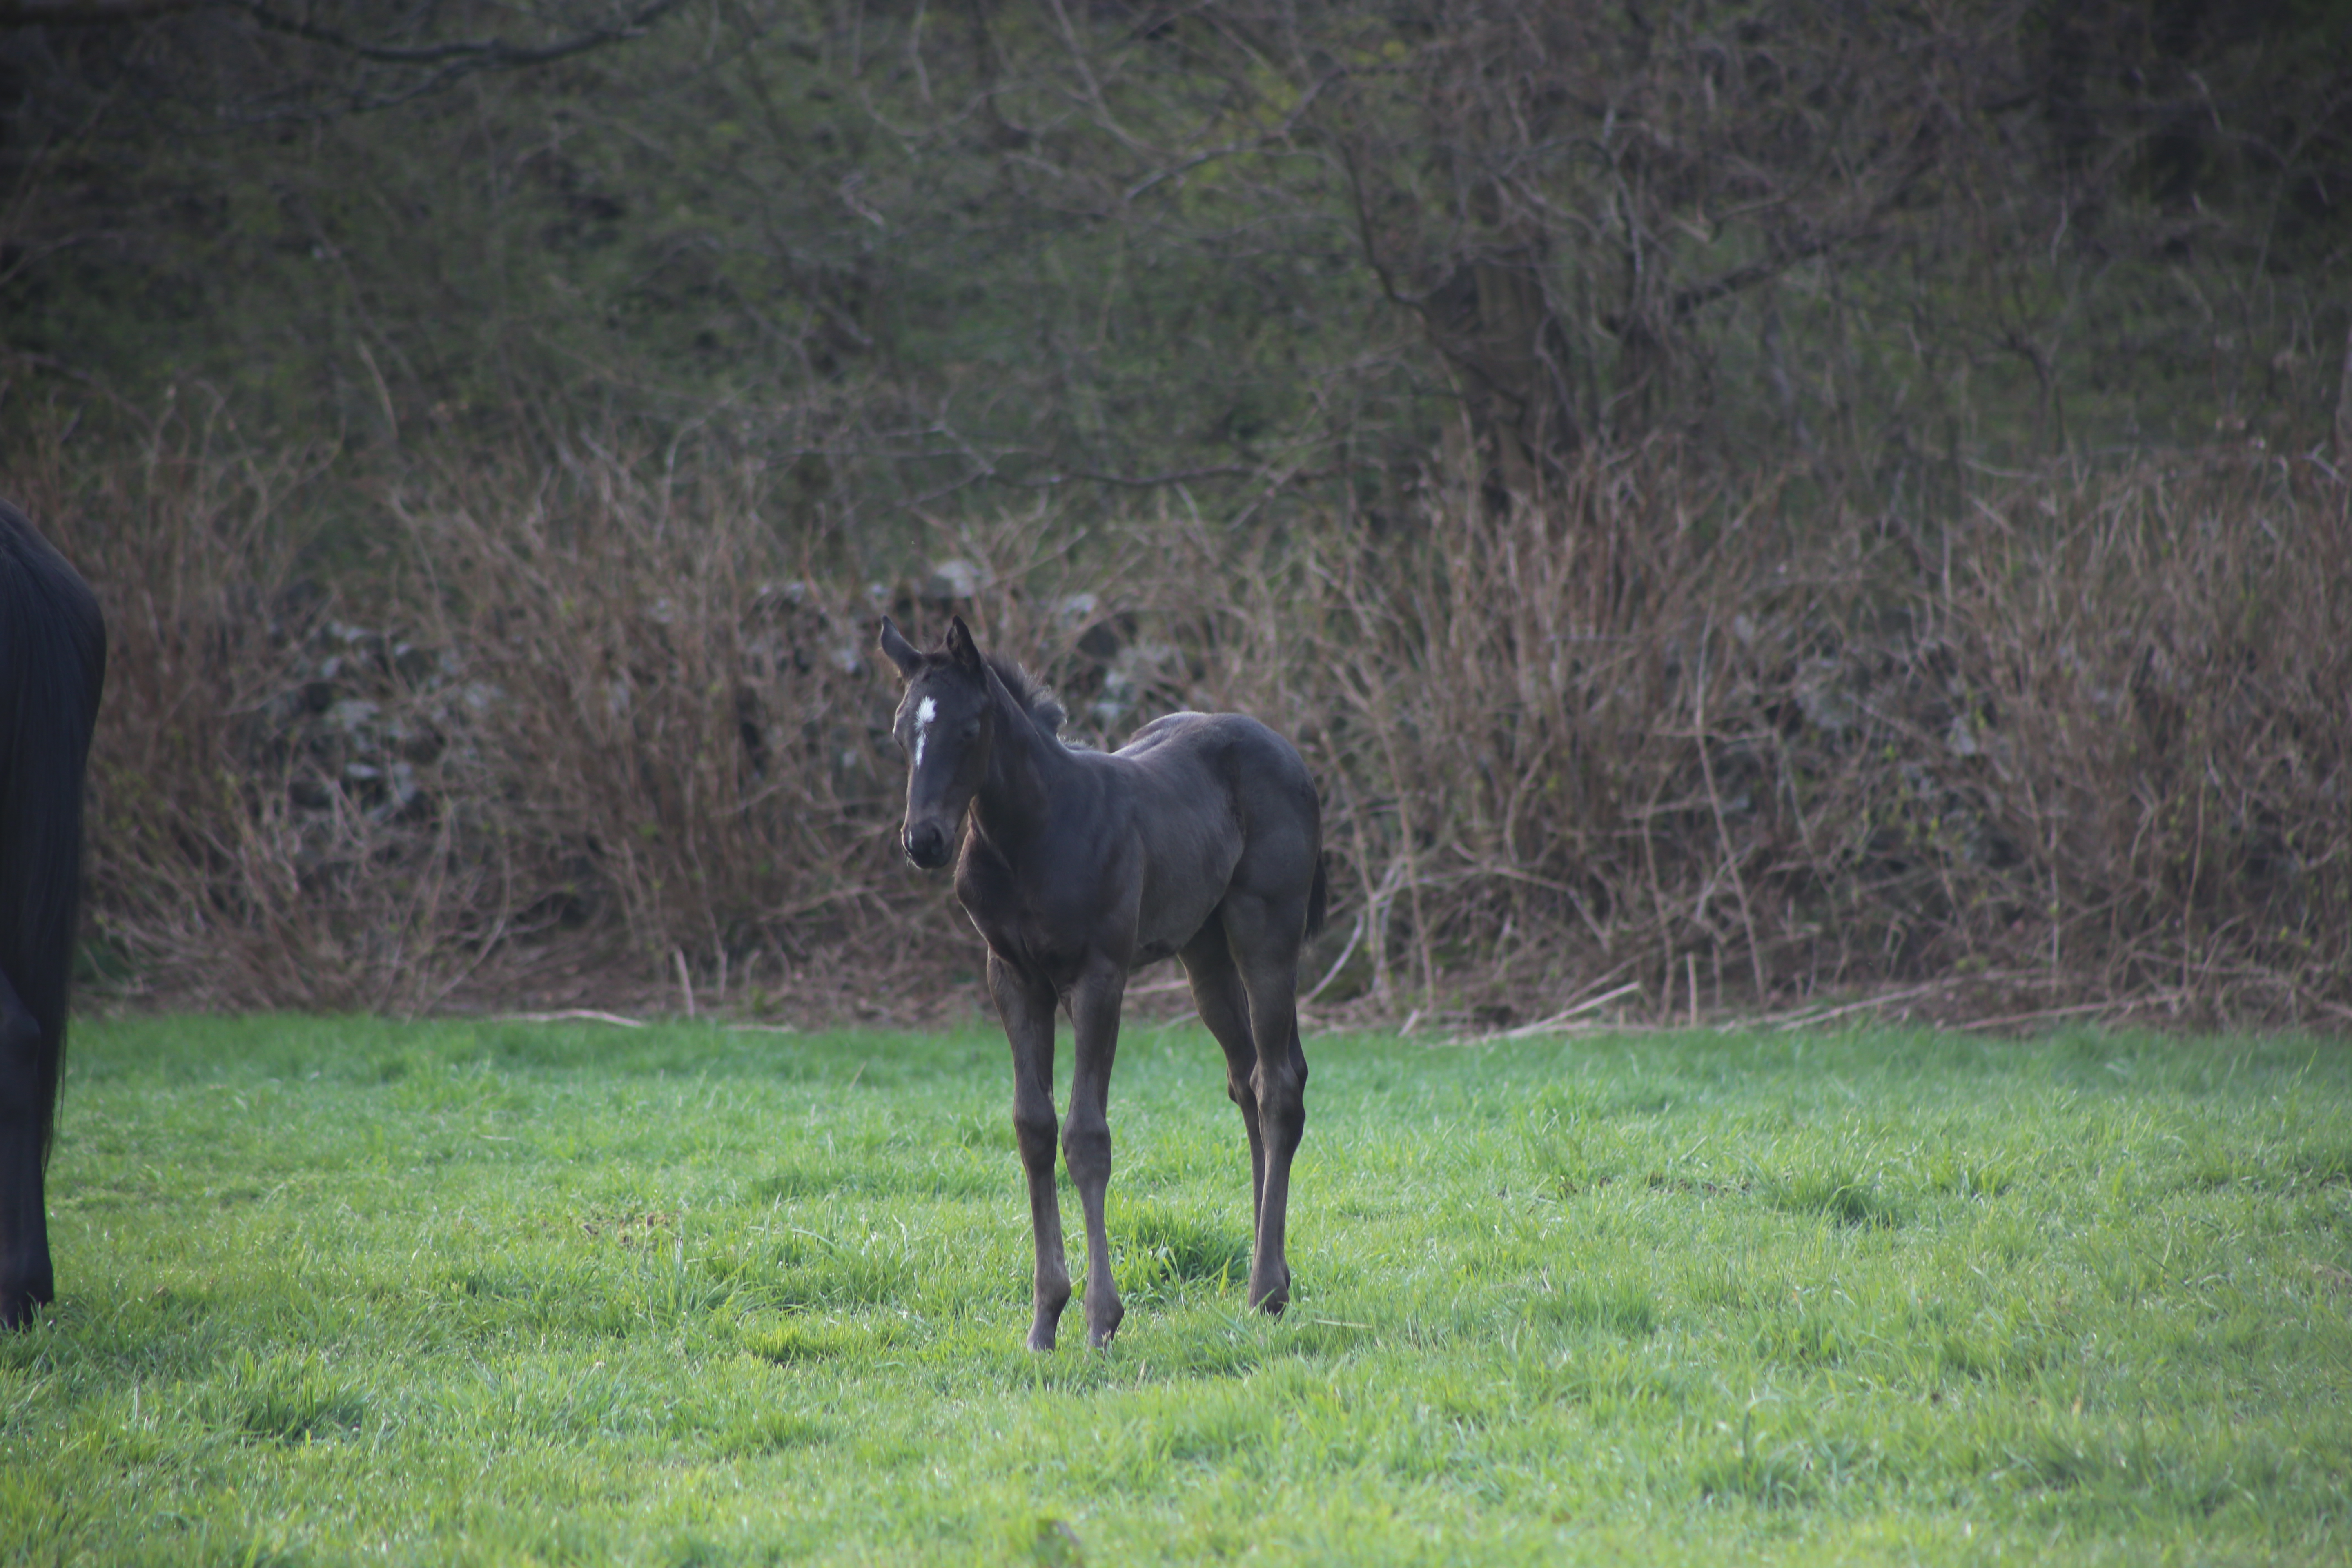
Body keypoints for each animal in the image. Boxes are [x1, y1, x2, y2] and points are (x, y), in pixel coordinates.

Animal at [884, 616, 1326, 1354]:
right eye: (899, 731)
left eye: (970, 729)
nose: (925, 840)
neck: (1029, 835)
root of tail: (1292, 758)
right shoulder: (1013, 977)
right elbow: (1033, 1127)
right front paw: (1044, 1320)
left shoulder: (1098, 976)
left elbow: (1087, 1136)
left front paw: (1100, 1319)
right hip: (1203, 949)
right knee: (1248, 1080)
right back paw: (1275, 1275)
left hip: (1267, 926)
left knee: (1279, 1086)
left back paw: (1265, 1291)